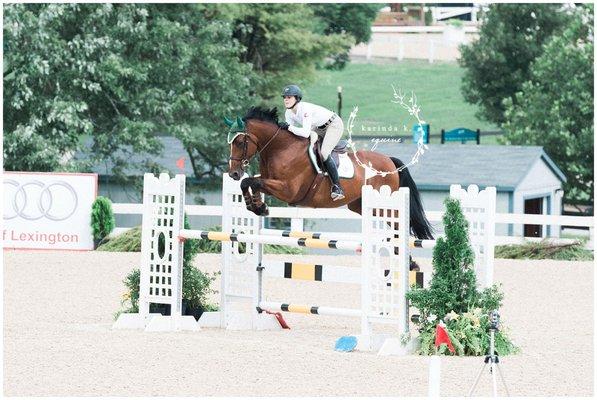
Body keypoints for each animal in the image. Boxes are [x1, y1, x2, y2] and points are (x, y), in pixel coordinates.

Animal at [226, 106, 430, 239]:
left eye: (240, 142)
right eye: (230, 142)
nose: (233, 173)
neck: (281, 148)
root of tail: (390, 161)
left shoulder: (288, 190)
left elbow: (251, 182)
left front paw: (257, 206)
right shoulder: (269, 180)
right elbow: (250, 183)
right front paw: (257, 206)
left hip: (385, 205)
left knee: (398, 228)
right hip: (360, 205)